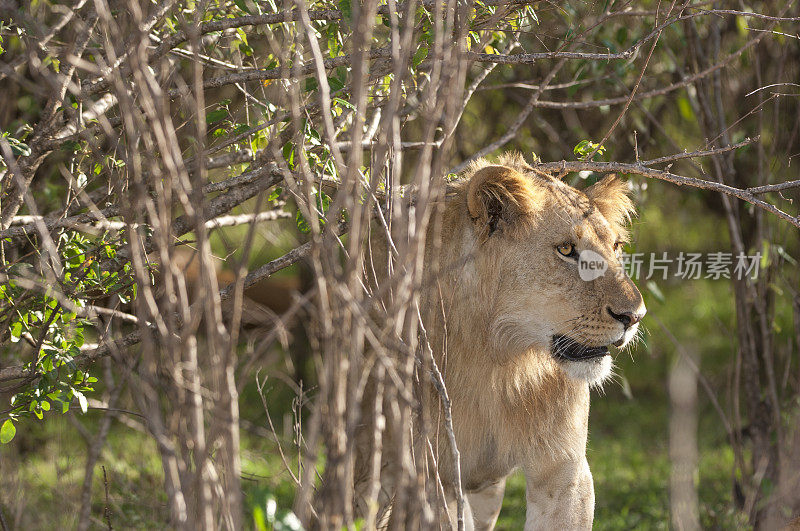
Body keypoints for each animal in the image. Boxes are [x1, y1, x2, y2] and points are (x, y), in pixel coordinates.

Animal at [360, 152, 648, 528]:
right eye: (566, 249)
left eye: (615, 247)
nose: (635, 316)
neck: (498, 359)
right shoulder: (432, 475)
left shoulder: (565, 470)